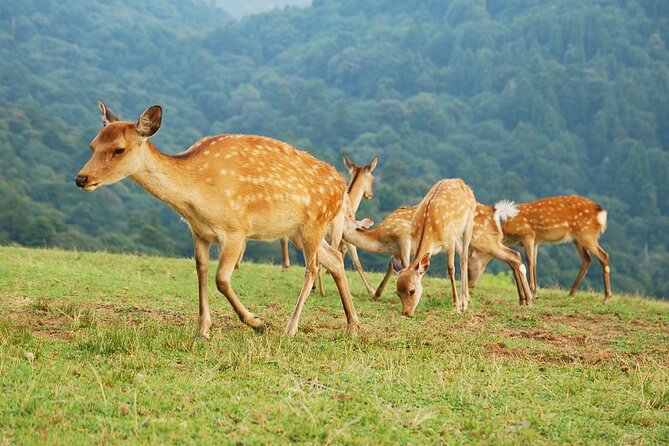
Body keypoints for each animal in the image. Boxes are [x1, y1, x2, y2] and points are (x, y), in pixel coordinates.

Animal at [74, 101, 359, 337]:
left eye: (119, 149)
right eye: (92, 145)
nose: (81, 178)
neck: (195, 199)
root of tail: (341, 186)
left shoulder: (236, 230)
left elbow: (221, 279)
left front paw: (257, 322)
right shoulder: (199, 232)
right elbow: (201, 272)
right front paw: (203, 331)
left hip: (315, 222)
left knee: (313, 268)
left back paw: (290, 329)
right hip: (297, 231)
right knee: (335, 258)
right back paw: (352, 324)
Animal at [343, 201, 533, 305]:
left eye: (345, 219)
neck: (382, 239)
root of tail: (495, 212)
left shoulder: (403, 239)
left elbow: (404, 266)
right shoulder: (397, 250)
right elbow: (393, 267)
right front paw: (377, 293)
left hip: (483, 239)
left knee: (514, 256)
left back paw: (528, 299)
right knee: (512, 257)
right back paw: (523, 299)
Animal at [391, 178, 476, 317]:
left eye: (412, 290)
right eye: (397, 292)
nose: (406, 313)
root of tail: (461, 181)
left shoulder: (449, 240)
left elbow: (450, 269)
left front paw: (456, 308)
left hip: (469, 222)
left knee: (464, 258)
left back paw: (464, 304)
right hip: (457, 233)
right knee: (463, 254)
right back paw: (466, 300)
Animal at [468, 195, 612, 299]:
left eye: (469, 265)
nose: (470, 284)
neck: (508, 234)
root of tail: (602, 213)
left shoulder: (528, 235)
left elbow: (529, 261)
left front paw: (532, 289)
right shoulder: (536, 241)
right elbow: (535, 262)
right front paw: (535, 290)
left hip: (586, 234)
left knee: (603, 256)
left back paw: (607, 296)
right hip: (577, 238)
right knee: (587, 259)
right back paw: (571, 293)